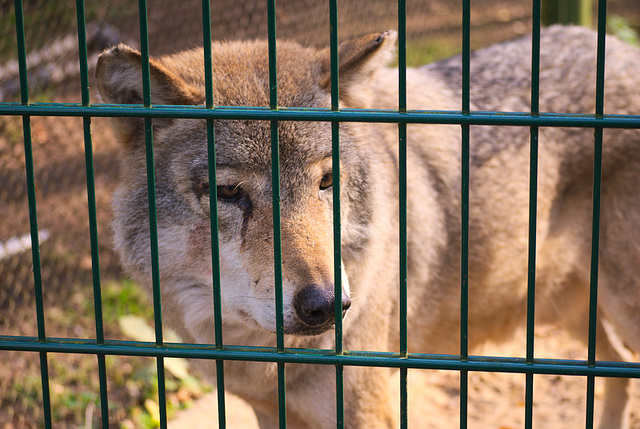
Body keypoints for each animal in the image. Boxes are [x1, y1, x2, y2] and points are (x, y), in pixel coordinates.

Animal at [95, 26, 640, 428]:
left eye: (327, 181)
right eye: (229, 192)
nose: (326, 305)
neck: (272, 362)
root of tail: (619, 46)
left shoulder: (369, 411)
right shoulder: (270, 413)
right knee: (613, 372)